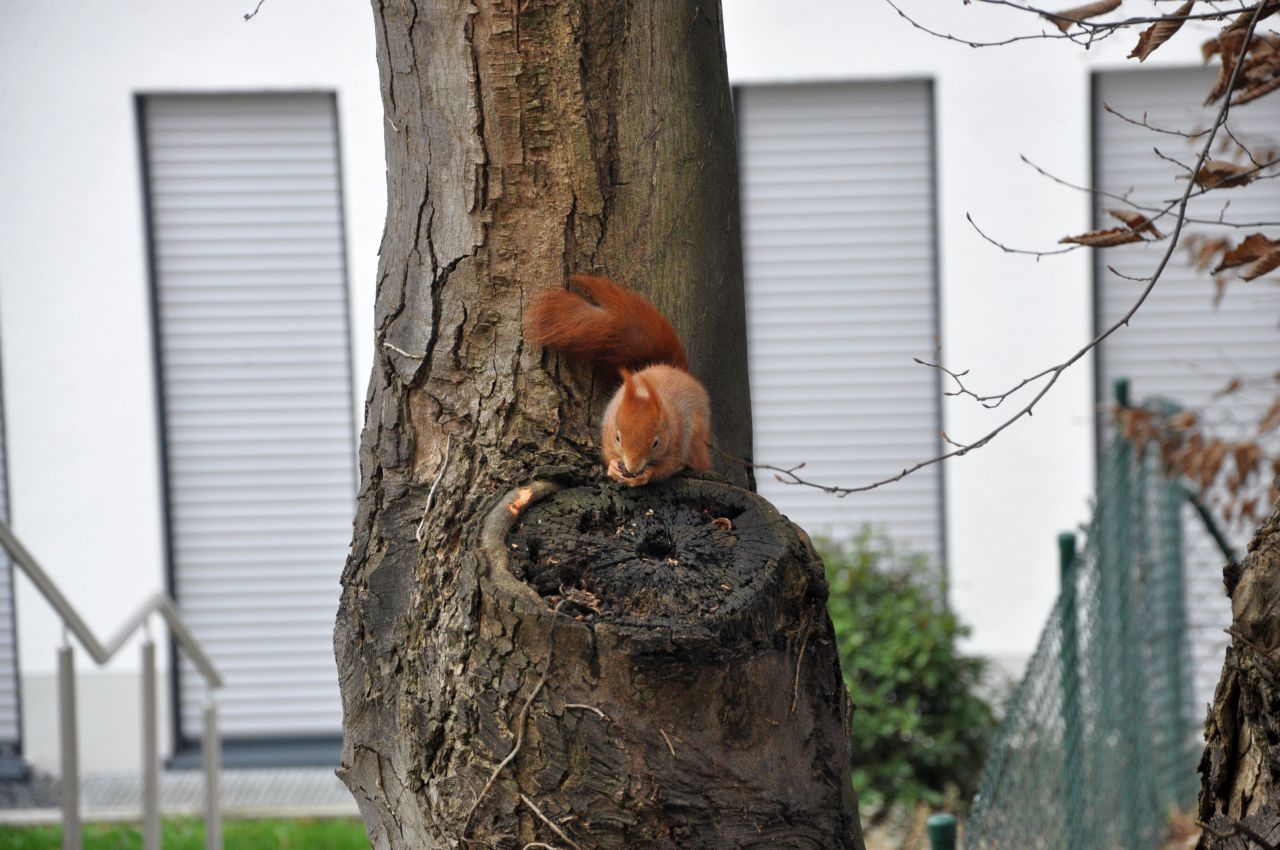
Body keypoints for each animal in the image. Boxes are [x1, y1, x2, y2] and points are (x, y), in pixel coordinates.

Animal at [524, 275, 716, 489]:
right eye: (618, 437)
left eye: (655, 443)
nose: (632, 469)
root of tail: (673, 369)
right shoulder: (608, 429)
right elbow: (608, 453)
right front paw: (613, 467)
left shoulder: (678, 443)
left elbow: (666, 468)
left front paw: (645, 475)